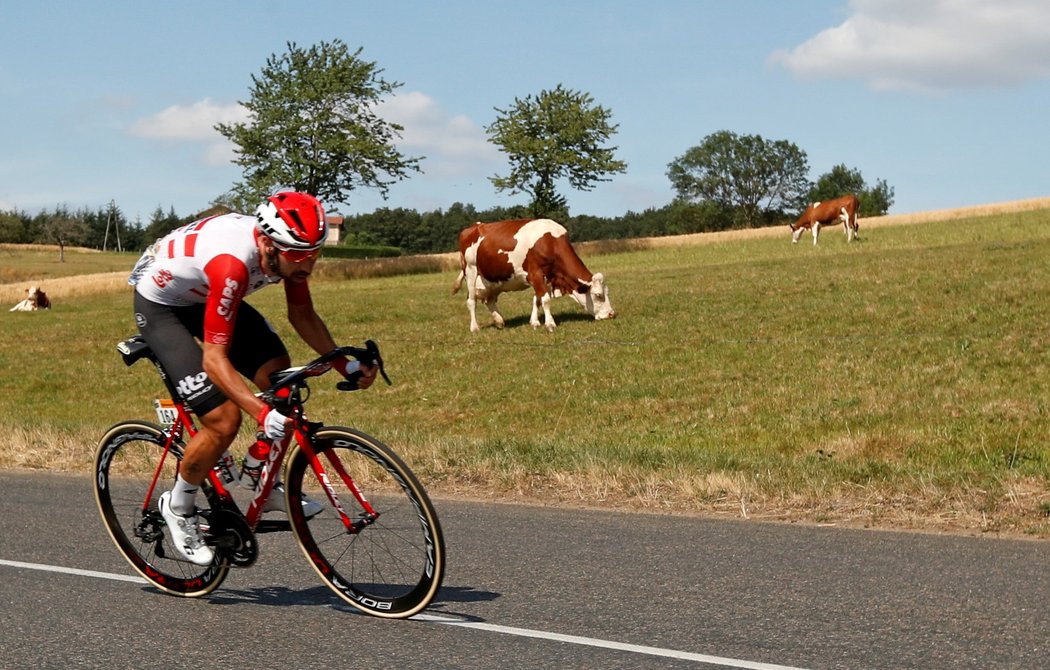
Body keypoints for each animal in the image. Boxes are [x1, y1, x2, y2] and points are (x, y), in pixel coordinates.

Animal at [451, 219, 613, 333]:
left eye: (607, 293)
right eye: (598, 295)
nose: (611, 314)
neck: (550, 242)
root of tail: (473, 226)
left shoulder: (545, 277)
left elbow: (537, 300)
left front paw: (534, 322)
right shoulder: (536, 274)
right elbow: (545, 300)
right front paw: (550, 324)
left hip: (493, 280)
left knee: (489, 300)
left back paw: (499, 321)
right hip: (470, 270)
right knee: (471, 301)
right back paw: (474, 328)